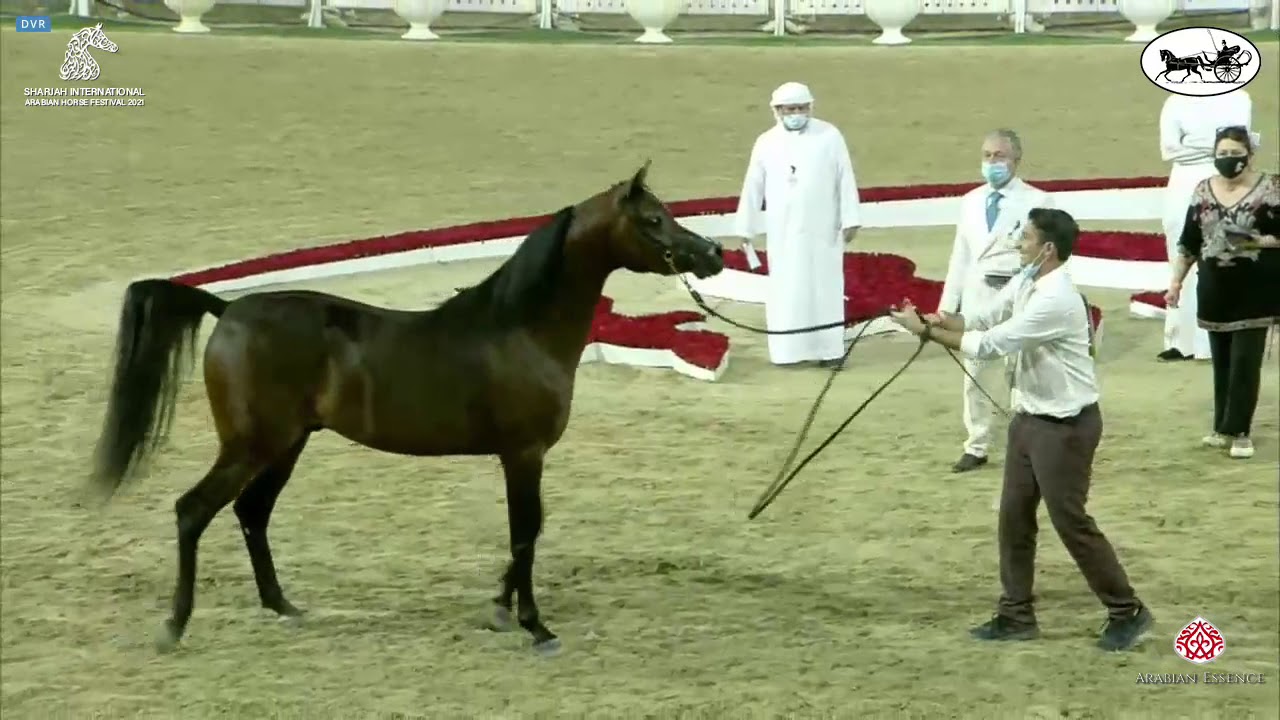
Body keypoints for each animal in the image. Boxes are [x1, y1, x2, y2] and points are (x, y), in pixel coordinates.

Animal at [88, 161, 725, 656]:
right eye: (652, 220)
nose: (713, 253)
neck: (519, 327)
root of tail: (227, 310)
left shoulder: (519, 457)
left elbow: (526, 534)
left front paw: (499, 609)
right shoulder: (523, 454)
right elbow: (525, 533)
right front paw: (535, 626)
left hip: (287, 444)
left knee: (252, 512)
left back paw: (283, 606)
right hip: (251, 446)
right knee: (193, 511)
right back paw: (174, 627)